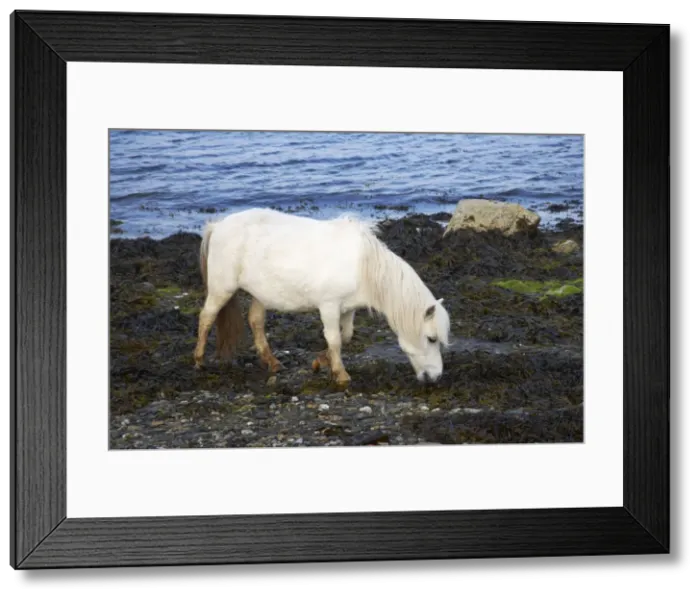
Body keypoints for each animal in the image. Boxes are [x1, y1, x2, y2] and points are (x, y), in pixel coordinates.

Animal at [193, 207, 450, 385]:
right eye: (431, 339)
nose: (436, 377)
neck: (362, 265)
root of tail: (217, 226)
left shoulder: (347, 309)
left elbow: (344, 336)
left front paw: (321, 362)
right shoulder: (328, 306)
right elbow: (334, 339)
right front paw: (341, 375)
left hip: (259, 294)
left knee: (255, 321)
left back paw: (273, 363)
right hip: (221, 289)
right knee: (206, 318)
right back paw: (199, 361)